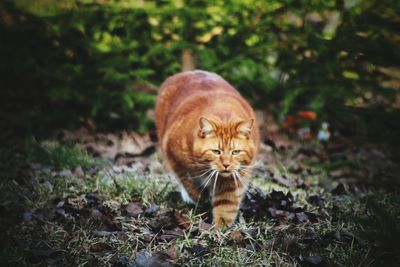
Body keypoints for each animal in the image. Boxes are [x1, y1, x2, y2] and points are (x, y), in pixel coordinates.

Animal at [155, 69, 260, 228]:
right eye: (216, 151)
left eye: (235, 152)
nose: (226, 164)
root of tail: (186, 73)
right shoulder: (173, 155)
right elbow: (187, 180)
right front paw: (199, 196)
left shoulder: (234, 178)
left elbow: (226, 205)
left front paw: (220, 228)